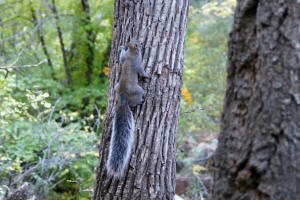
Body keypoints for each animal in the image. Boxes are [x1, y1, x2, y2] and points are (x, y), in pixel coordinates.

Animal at [106, 39, 150, 177]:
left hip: (115, 86)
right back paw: (142, 100)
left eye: (133, 41)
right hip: (138, 90)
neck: (131, 53)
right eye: (138, 43)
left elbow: (121, 58)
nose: (141, 42)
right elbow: (142, 72)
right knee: (136, 101)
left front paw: (121, 48)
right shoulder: (138, 64)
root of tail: (122, 99)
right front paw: (148, 75)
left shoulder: (124, 57)